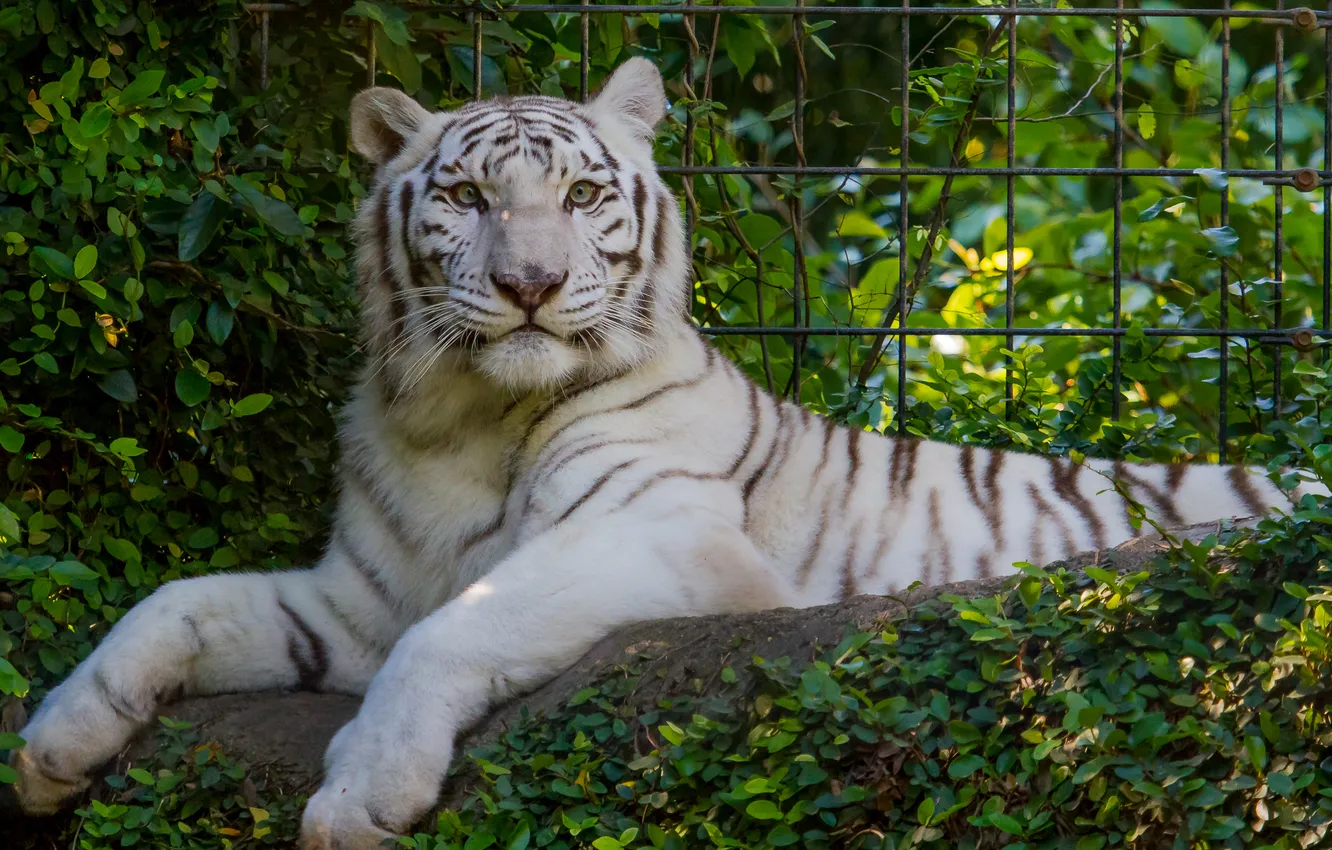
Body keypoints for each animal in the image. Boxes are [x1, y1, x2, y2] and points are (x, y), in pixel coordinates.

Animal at [7, 56, 1321, 847]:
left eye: (586, 195)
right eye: (468, 198)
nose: (532, 286)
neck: (460, 418)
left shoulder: (664, 534)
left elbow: (460, 625)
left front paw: (356, 792)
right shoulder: (357, 600)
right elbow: (177, 600)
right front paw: (53, 741)